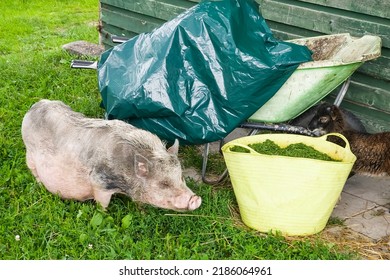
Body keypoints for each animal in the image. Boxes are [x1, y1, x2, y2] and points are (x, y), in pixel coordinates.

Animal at [21, 99, 203, 211]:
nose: (195, 198)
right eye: (164, 184)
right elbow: (102, 203)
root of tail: (34, 106)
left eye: (181, 177)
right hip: (29, 154)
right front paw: (104, 214)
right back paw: (39, 185)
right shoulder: (99, 183)